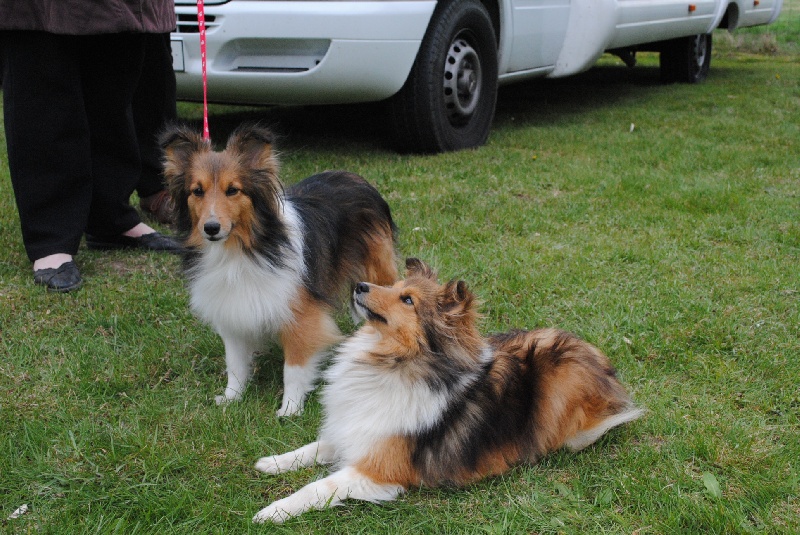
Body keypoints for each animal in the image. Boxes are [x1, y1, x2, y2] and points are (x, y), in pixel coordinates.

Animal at [161, 126, 398, 418]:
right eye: (197, 191)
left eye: (232, 190)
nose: (211, 228)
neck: (242, 250)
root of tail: (357, 179)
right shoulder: (233, 310)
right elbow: (235, 363)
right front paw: (232, 398)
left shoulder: (301, 315)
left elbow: (293, 369)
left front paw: (290, 409)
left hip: (377, 271)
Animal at [255, 260, 644, 524]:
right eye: (395, 286)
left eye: (407, 300)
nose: (360, 285)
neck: (395, 362)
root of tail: (605, 368)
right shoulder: (360, 431)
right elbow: (314, 447)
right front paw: (272, 462)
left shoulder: (379, 469)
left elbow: (318, 487)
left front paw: (273, 511)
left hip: (563, 377)